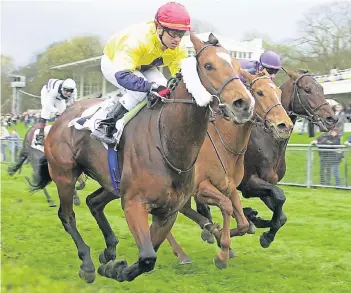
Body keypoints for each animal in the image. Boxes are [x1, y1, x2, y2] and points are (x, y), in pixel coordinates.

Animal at [35, 33, 256, 282]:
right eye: (209, 66)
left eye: (238, 66)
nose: (243, 104)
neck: (169, 144)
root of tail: (61, 118)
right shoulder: (134, 204)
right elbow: (148, 257)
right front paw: (115, 269)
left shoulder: (167, 212)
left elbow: (149, 255)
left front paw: (114, 267)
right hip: (64, 175)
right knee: (67, 215)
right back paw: (87, 263)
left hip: (112, 183)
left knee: (93, 202)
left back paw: (109, 248)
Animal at [167, 69, 294, 266]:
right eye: (260, 92)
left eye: (279, 92)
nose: (285, 125)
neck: (225, 142)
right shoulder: (206, 187)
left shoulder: (232, 186)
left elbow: (248, 220)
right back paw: (182, 252)